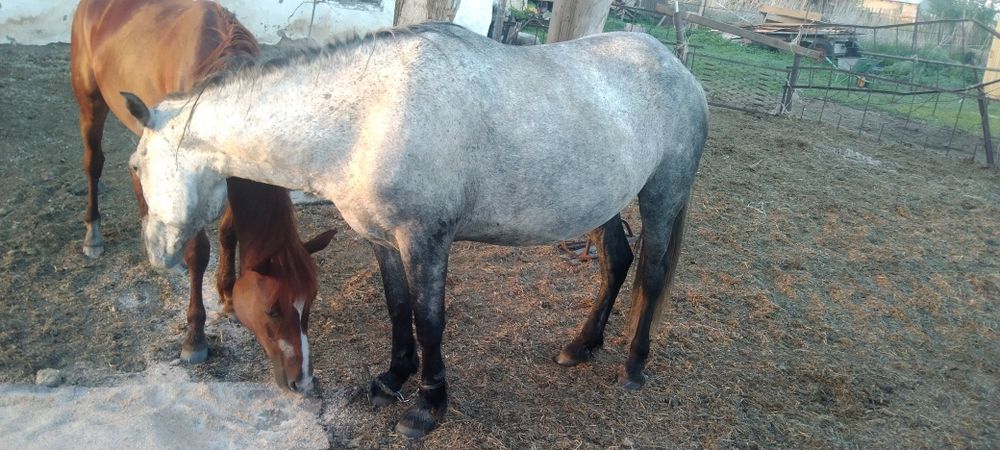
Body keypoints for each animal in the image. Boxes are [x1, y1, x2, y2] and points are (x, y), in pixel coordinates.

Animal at [70, 0, 334, 392]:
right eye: (272, 309)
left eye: (311, 302)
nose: (301, 381)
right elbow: (199, 252)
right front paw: (195, 338)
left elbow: (229, 231)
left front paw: (226, 292)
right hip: (90, 100)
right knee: (94, 163)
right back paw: (94, 234)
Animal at [123, 23, 708, 438]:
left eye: (135, 164)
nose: (155, 250)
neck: (368, 116)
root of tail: (680, 72)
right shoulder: (383, 240)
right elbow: (397, 308)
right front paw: (392, 381)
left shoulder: (425, 242)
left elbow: (429, 320)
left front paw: (427, 407)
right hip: (605, 202)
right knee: (616, 263)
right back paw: (582, 345)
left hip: (661, 195)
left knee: (652, 273)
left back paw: (633, 365)